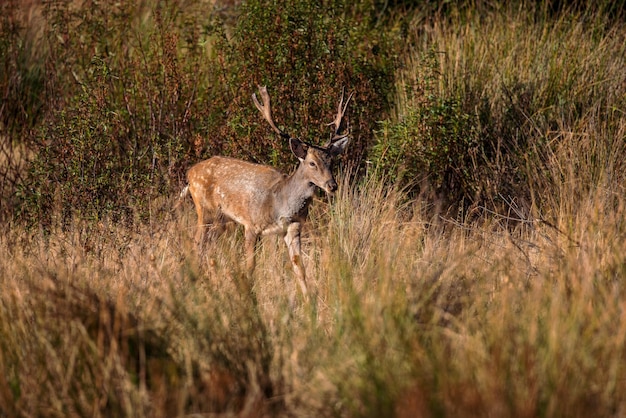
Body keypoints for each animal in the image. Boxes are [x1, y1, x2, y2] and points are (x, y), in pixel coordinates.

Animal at [180, 87, 352, 298]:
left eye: (331, 161)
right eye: (312, 163)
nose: (332, 185)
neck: (282, 203)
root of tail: (189, 174)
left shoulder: (293, 227)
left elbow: (299, 267)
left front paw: (308, 299)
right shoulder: (251, 224)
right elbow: (251, 266)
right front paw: (247, 296)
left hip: (221, 220)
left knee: (206, 247)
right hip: (204, 210)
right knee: (196, 245)